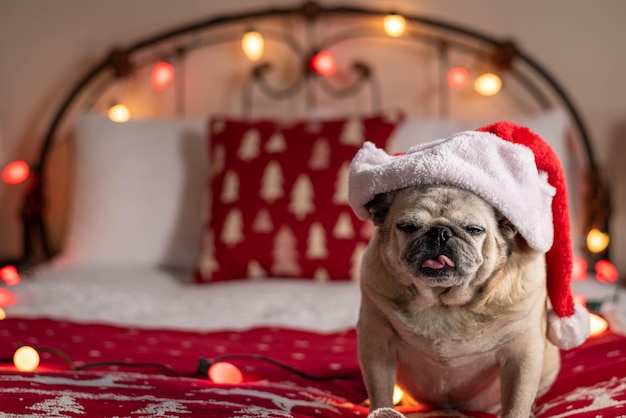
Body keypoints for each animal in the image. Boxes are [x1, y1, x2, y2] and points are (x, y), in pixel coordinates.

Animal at [358, 185, 560, 416]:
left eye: (474, 229)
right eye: (407, 226)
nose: (439, 232)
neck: (443, 303)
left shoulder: (522, 353)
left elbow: (517, 401)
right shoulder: (377, 341)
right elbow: (380, 390)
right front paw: (381, 410)